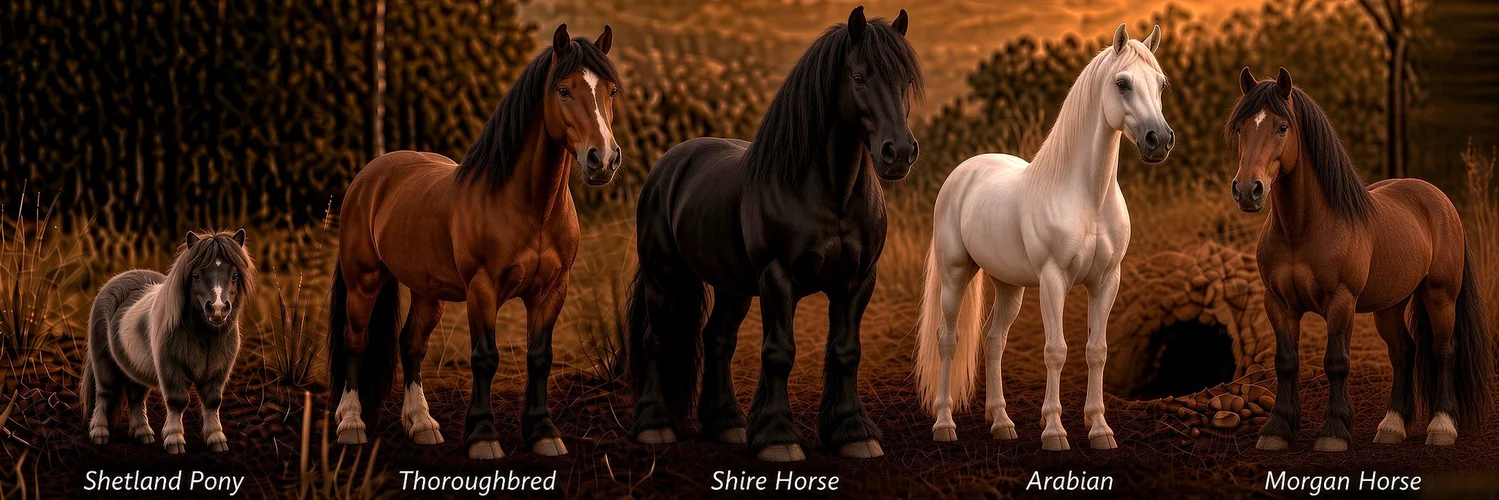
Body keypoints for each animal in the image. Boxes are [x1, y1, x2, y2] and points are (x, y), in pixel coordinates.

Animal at [81, 229, 255, 455]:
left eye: (234, 275)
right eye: (196, 275)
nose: (217, 308)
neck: (204, 335)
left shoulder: (218, 371)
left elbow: (212, 401)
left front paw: (217, 439)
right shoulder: (171, 368)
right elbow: (177, 401)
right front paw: (174, 440)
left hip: (135, 366)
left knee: (136, 397)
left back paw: (143, 433)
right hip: (104, 363)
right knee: (104, 393)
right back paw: (99, 433)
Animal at [327, 23, 622, 460]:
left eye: (611, 91)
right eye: (564, 90)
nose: (602, 160)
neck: (528, 207)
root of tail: (369, 176)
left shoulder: (552, 290)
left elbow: (540, 357)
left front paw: (543, 433)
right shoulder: (483, 289)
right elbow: (485, 357)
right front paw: (483, 436)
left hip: (426, 291)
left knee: (411, 344)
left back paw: (422, 425)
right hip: (363, 282)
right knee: (355, 342)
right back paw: (350, 424)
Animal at [626, 7, 921, 462]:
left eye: (905, 79)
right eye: (858, 76)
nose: (899, 153)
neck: (830, 193)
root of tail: (668, 164)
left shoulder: (858, 280)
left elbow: (846, 352)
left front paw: (853, 432)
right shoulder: (777, 277)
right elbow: (779, 352)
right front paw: (779, 438)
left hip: (732, 286)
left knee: (718, 339)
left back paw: (728, 424)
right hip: (663, 276)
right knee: (655, 338)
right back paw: (655, 426)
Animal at [914, 24, 1173, 451]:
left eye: (1161, 84)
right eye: (1122, 83)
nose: (1160, 141)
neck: (1087, 197)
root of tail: (963, 172)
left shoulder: (1107, 281)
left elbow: (1096, 351)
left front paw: (1100, 430)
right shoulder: (1053, 280)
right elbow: (1056, 351)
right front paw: (1054, 431)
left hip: (1009, 286)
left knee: (993, 341)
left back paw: (1001, 423)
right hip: (955, 275)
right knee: (948, 339)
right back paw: (944, 424)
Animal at [1228, 67, 1493, 451]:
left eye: (1282, 127)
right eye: (1239, 127)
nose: (1248, 190)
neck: (1302, 230)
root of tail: (1439, 200)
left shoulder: (1341, 301)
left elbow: (1336, 361)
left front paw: (1333, 432)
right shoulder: (1278, 303)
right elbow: (1286, 362)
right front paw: (1276, 430)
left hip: (1441, 295)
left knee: (1443, 350)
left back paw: (1442, 427)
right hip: (1390, 306)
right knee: (1404, 352)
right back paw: (1392, 427)